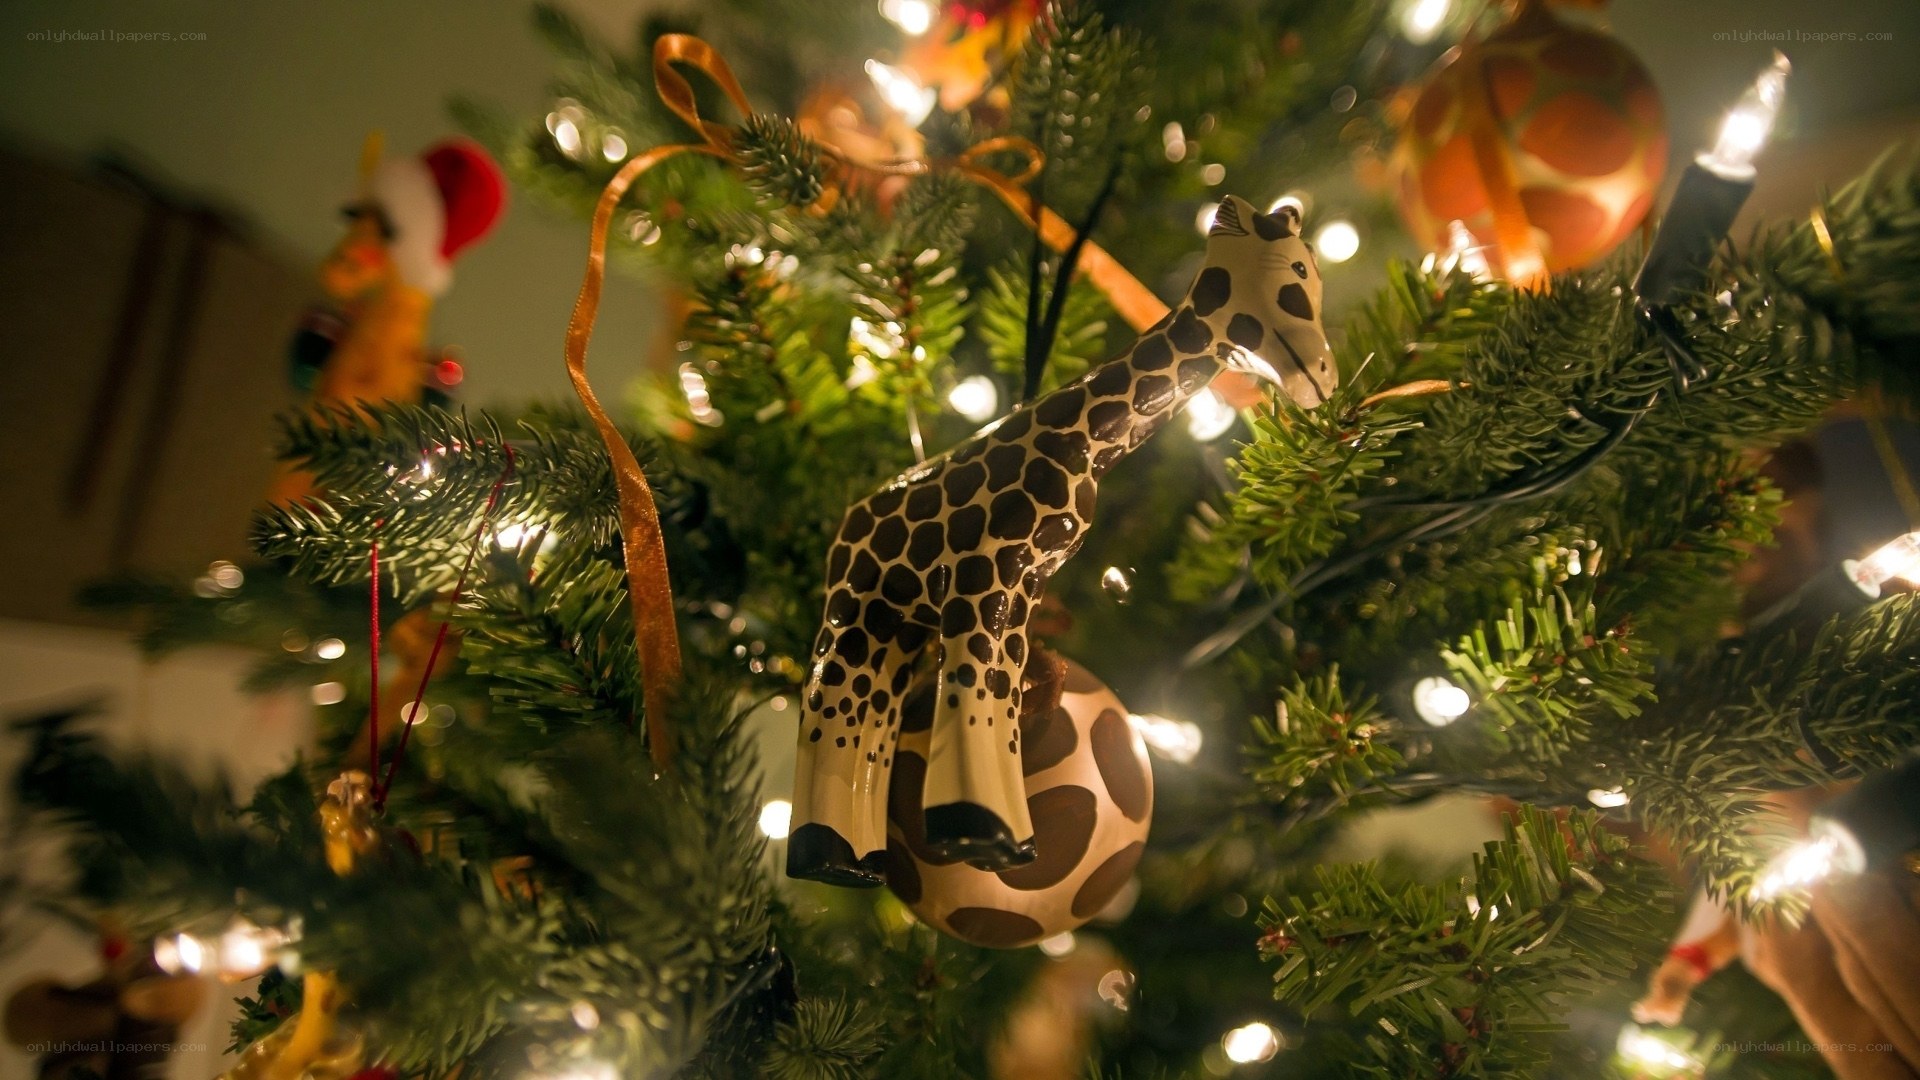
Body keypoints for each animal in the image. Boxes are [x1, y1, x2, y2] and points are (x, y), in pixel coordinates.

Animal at [788, 194, 1337, 885]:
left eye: (1312, 275)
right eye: (1296, 270)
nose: (1324, 378)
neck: (1086, 446)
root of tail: (849, 521)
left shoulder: (1023, 580)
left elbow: (1007, 687)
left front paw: (996, 829)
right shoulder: (984, 577)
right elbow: (979, 687)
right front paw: (986, 834)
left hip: (890, 625)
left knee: (856, 711)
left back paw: (846, 860)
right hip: (857, 610)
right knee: (824, 700)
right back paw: (834, 856)